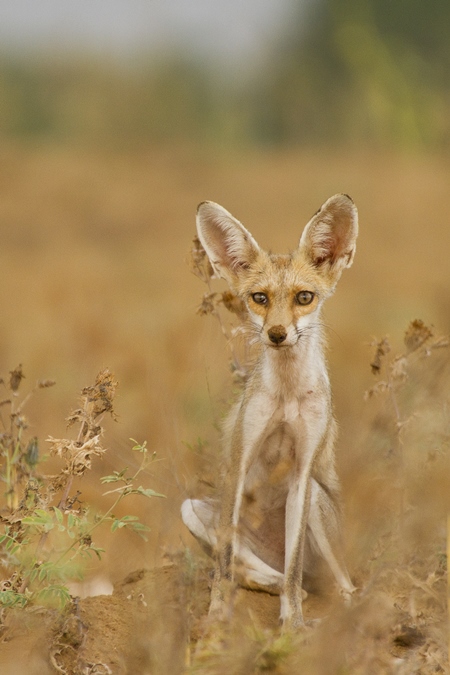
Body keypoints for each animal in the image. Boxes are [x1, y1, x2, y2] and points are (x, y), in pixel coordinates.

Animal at [181, 194, 356, 628]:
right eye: (259, 298)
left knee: (331, 584)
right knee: (255, 572)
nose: (277, 334)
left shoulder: (303, 471)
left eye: (304, 297)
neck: (287, 396)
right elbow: (224, 564)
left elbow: (293, 569)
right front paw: (216, 617)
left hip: (318, 508)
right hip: (192, 509)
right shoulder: (241, 460)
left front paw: (292, 625)